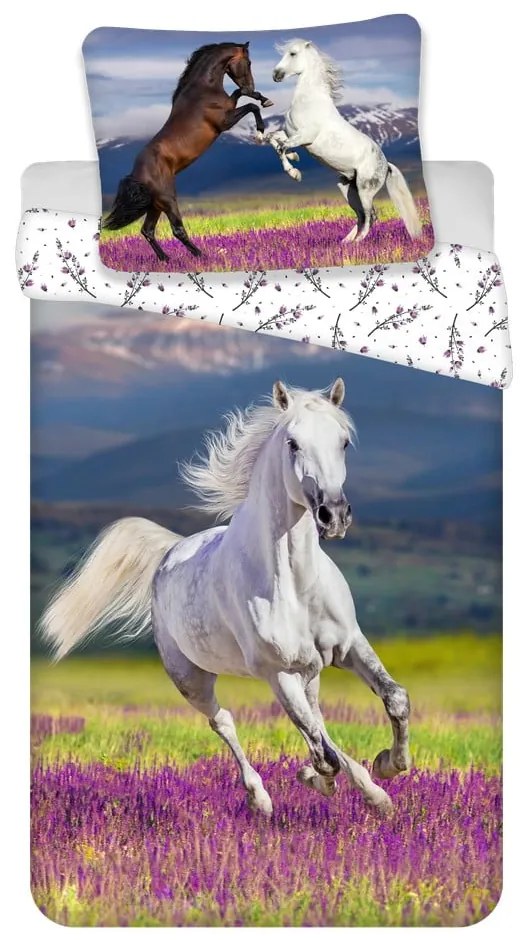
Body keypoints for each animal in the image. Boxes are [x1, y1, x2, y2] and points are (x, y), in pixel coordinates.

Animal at [40, 379, 411, 817]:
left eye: (344, 442)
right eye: (293, 443)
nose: (333, 515)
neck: (296, 585)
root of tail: (171, 551)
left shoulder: (349, 646)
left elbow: (393, 699)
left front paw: (387, 767)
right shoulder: (277, 672)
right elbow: (322, 752)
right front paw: (320, 778)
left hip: (310, 672)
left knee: (318, 720)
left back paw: (370, 791)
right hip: (192, 678)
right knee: (225, 722)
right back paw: (261, 799)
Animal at [103, 42, 273, 261]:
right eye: (249, 62)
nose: (251, 84)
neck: (203, 90)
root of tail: (137, 174)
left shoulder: (230, 106)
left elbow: (240, 93)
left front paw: (263, 98)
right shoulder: (224, 122)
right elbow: (251, 105)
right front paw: (260, 131)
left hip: (155, 205)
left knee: (148, 230)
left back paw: (166, 260)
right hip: (168, 199)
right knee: (177, 230)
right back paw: (202, 256)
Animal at [264, 40, 422, 244]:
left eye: (293, 53)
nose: (276, 75)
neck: (309, 101)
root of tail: (386, 165)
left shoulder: (305, 137)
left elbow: (281, 147)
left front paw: (294, 173)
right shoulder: (290, 133)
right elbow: (272, 139)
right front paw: (295, 157)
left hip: (365, 189)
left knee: (371, 216)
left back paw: (356, 242)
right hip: (347, 188)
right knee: (362, 216)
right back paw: (345, 243)